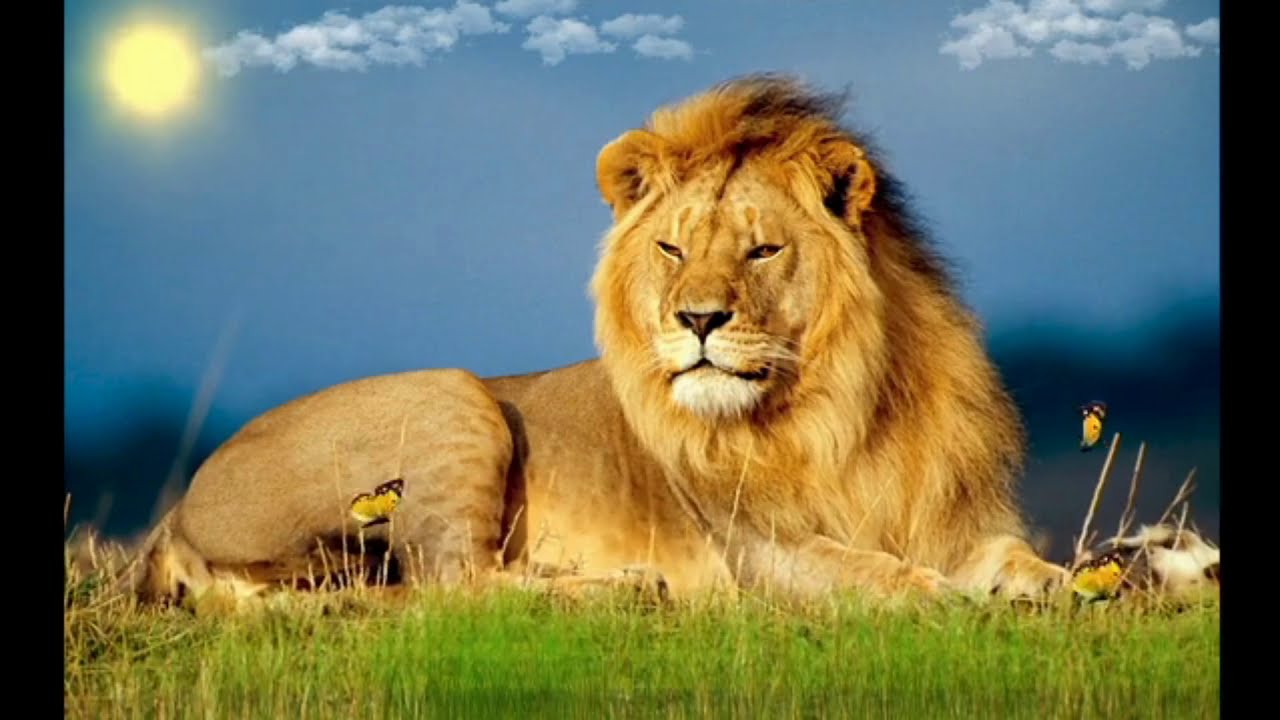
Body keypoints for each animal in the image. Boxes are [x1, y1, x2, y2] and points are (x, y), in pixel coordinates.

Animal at [129, 74, 1069, 609]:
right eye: (673, 249)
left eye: (762, 250)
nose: (698, 320)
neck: (842, 408)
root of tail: (175, 512)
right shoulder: (758, 552)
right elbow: (876, 576)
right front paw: (945, 600)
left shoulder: (956, 516)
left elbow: (1010, 555)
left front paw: (1073, 588)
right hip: (453, 395)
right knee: (452, 589)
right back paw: (625, 588)